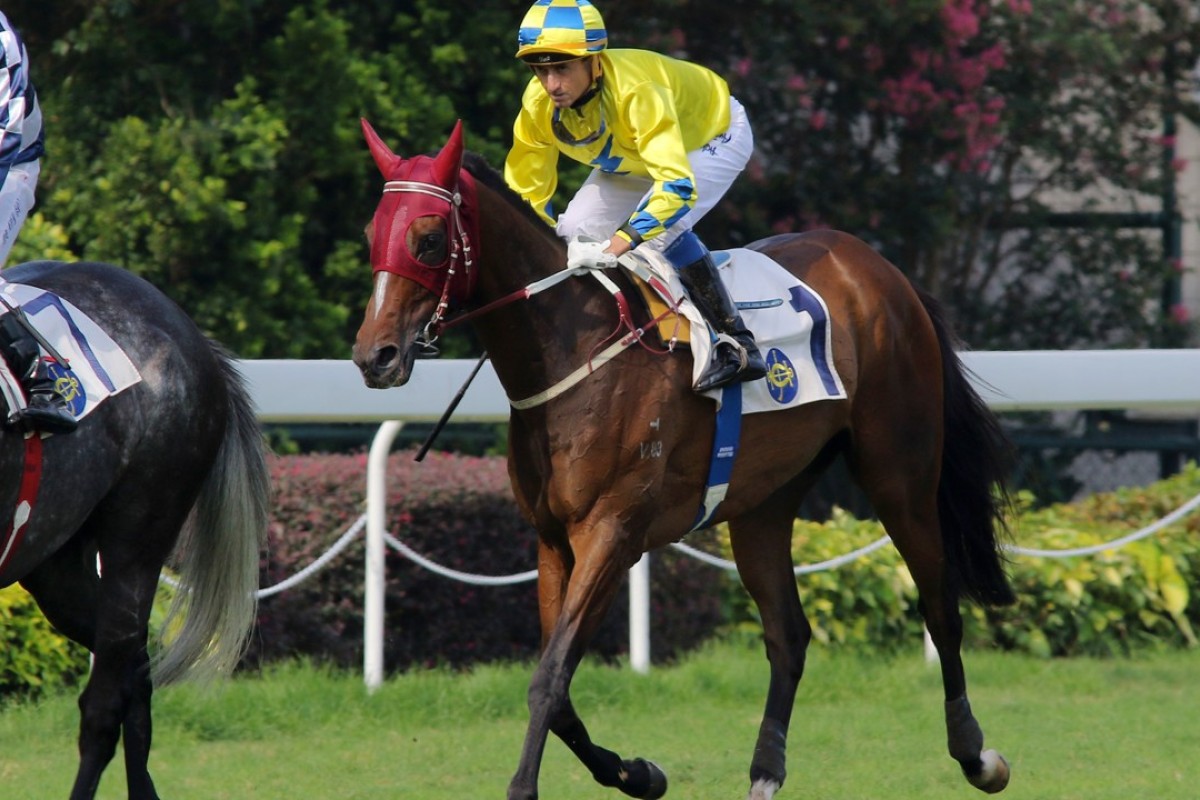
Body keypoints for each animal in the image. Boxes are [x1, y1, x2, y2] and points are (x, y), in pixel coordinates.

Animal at [350, 120, 1017, 800]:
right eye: (372, 236)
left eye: (429, 240)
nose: (374, 356)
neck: (571, 345)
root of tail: (882, 270)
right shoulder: (553, 539)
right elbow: (559, 695)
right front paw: (638, 773)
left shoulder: (611, 533)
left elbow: (550, 677)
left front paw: (530, 787)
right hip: (763, 501)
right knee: (789, 633)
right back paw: (765, 772)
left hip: (899, 474)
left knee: (940, 607)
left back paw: (977, 756)